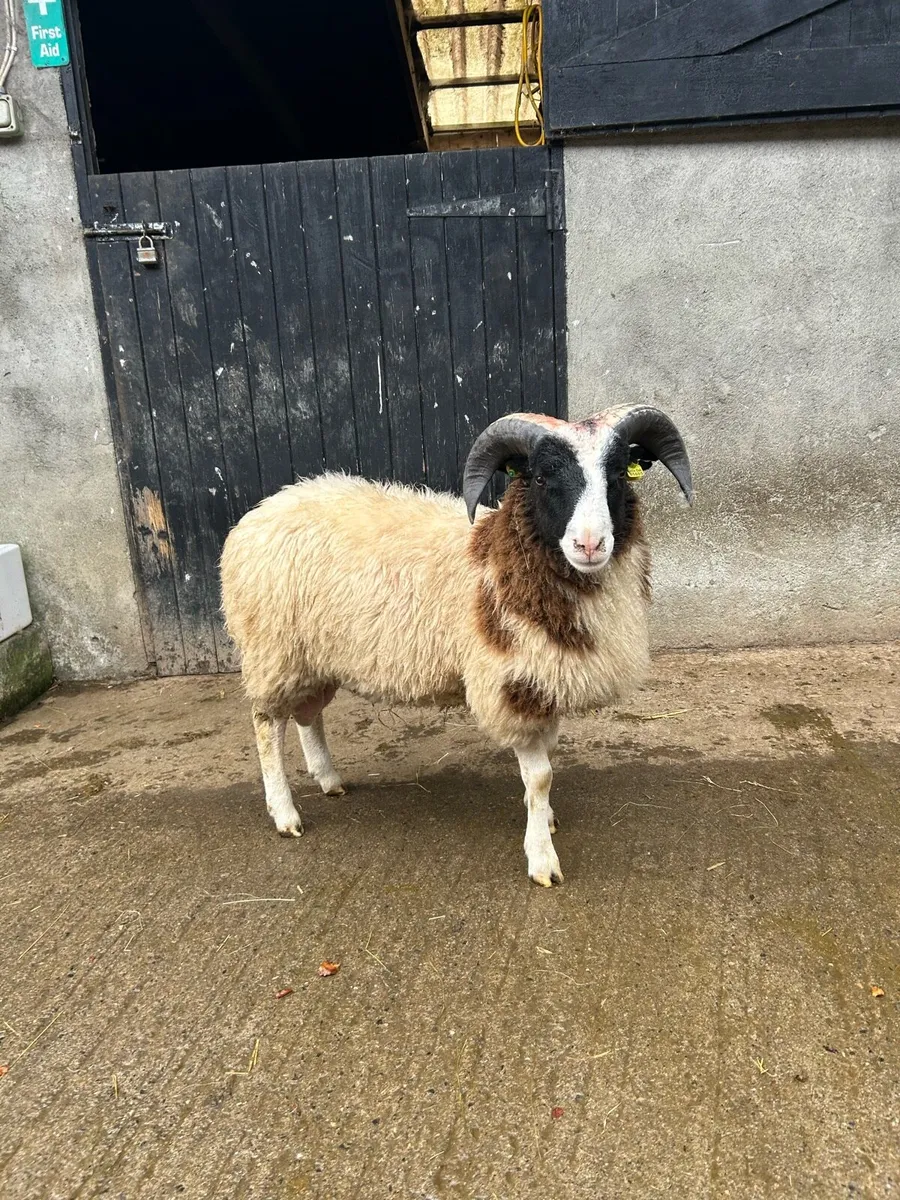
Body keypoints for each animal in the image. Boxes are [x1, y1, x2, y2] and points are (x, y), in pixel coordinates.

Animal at [220, 404, 692, 886]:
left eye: (617, 475)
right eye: (541, 477)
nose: (590, 543)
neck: (501, 556)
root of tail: (263, 509)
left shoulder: (544, 680)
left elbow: (547, 762)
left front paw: (544, 818)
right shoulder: (511, 683)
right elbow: (540, 776)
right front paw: (542, 858)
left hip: (314, 654)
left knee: (307, 714)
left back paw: (329, 779)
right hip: (272, 649)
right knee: (267, 725)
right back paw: (285, 814)